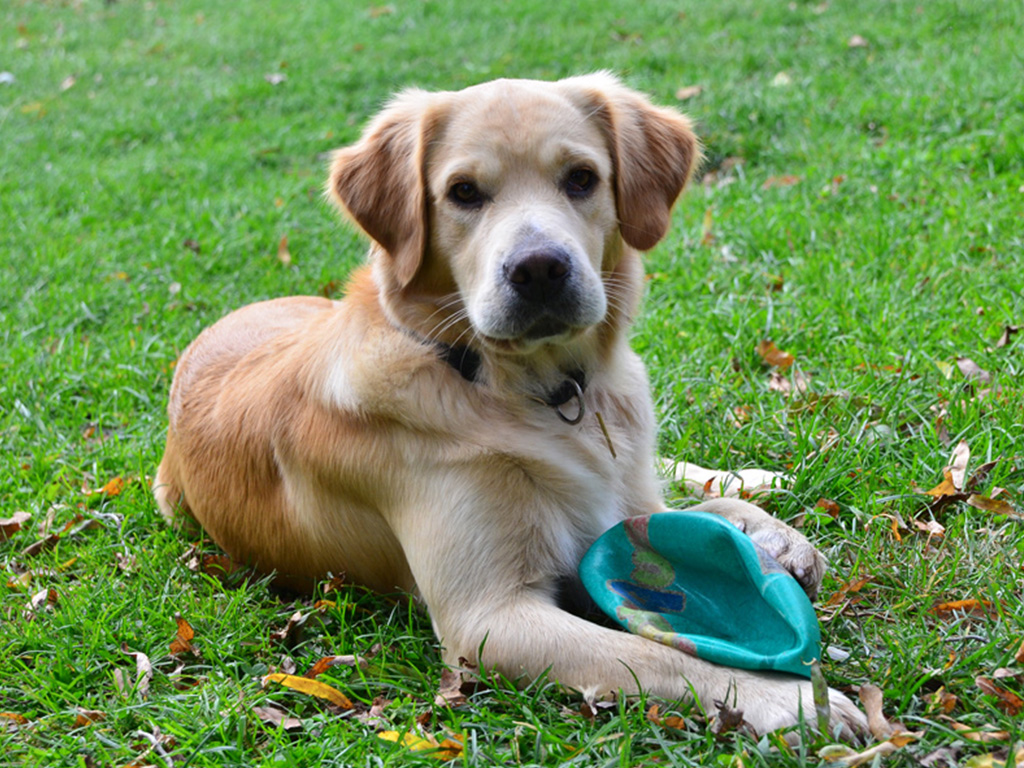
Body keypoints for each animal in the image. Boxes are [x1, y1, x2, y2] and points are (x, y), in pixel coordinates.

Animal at [155, 73, 868, 741]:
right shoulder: (490, 616)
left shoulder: (612, 500)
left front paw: (770, 529)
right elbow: (658, 654)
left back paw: (757, 485)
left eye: (581, 178)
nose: (539, 269)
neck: (528, 388)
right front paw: (789, 698)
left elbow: (678, 512)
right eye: (464, 192)